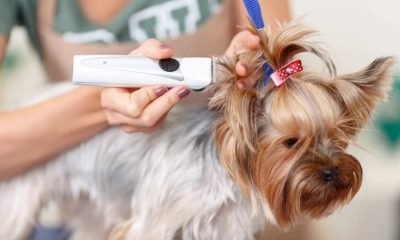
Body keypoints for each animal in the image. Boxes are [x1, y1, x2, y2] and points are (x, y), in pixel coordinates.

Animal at [0, 21, 396, 240]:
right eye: (291, 142)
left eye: (338, 137)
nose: (332, 172)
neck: (228, 178)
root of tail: (26, 102)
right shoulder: (155, 224)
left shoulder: (225, 227)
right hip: (17, 204)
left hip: (93, 208)